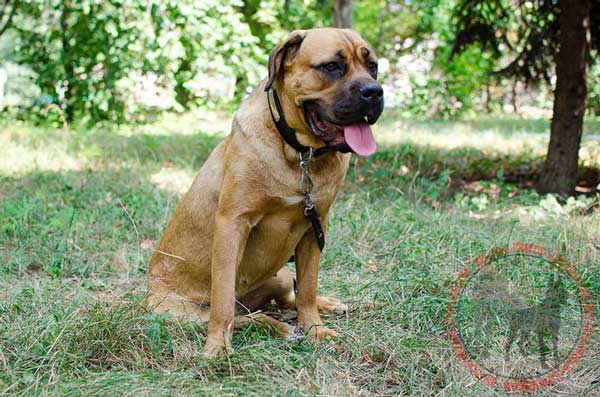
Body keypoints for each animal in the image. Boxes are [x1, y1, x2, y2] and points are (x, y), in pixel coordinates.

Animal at [147, 27, 382, 356]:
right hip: (181, 312)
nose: (374, 91)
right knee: (245, 315)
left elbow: (307, 287)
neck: (300, 154)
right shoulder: (233, 224)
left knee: (286, 299)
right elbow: (222, 301)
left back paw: (325, 306)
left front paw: (315, 329)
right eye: (331, 67)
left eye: (372, 66)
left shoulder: (315, 227)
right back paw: (281, 328)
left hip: (280, 275)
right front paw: (217, 348)